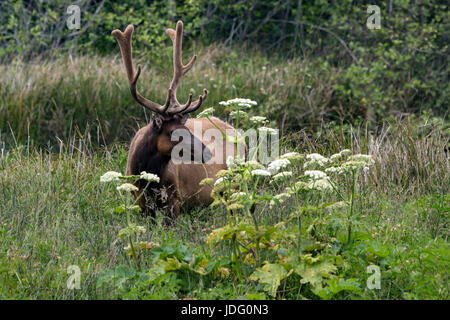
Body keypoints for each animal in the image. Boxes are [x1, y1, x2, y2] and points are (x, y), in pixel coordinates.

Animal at [112, 21, 243, 219]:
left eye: (187, 128)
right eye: (173, 131)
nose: (206, 152)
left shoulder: (176, 201)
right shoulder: (140, 205)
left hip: (235, 186)